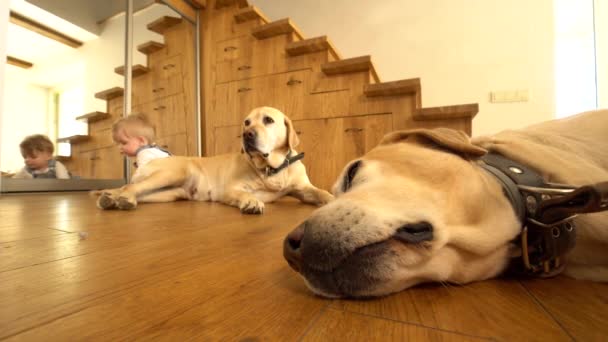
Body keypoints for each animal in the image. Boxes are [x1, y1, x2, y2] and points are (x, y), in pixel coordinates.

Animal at [94, 107, 332, 214]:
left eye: (268, 120)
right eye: (246, 122)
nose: (247, 135)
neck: (272, 169)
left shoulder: (303, 189)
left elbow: (321, 193)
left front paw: (334, 198)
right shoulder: (231, 188)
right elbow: (244, 193)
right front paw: (252, 201)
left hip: (167, 194)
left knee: (135, 191)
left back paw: (110, 198)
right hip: (172, 174)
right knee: (130, 187)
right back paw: (119, 198)